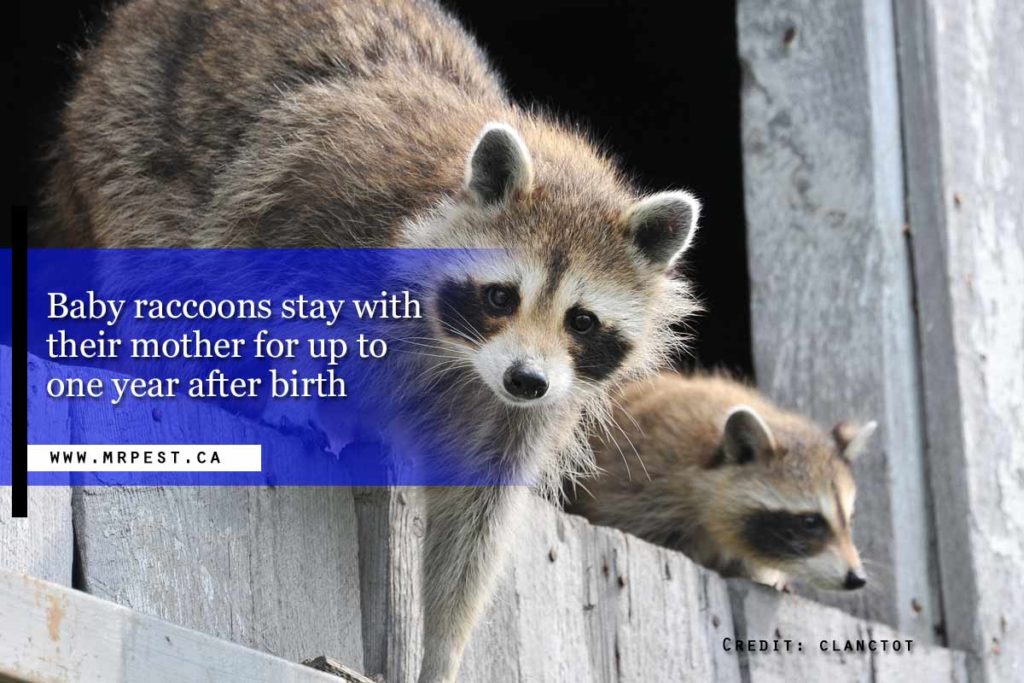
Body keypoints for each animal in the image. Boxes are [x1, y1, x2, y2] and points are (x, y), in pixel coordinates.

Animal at [46, 2, 702, 681]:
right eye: (501, 297)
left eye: (581, 321)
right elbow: (277, 292)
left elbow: (478, 516)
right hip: (128, 126)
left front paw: (442, 646)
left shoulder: (532, 404)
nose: (525, 379)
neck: (458, 353)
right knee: (159, 266)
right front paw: (292, 393)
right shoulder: (323, 204)